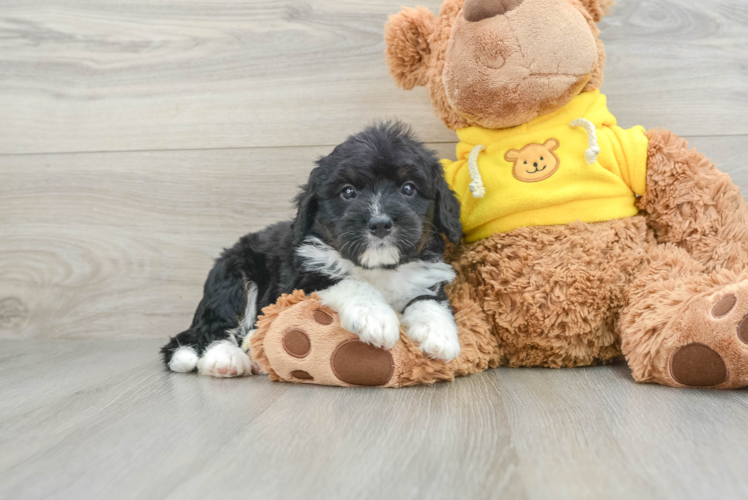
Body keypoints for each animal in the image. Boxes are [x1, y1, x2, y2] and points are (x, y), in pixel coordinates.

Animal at [161, 122, 464, 378]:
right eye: (348, 192)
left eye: (408, 188)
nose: (379, 223)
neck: (379, 268)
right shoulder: (303, 279)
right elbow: (349, 282)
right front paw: (375, 317)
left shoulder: (427, 274)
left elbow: (428, 298)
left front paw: (439, 333)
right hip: (234, 275)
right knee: (216, 326)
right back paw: (224, 359)